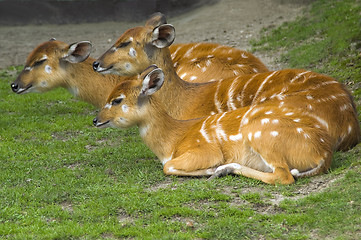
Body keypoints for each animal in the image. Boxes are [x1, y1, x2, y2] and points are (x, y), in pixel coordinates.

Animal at [93, 66, 332, 185]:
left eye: (117, 100)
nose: (95, 120)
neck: (171, 141)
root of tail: (323, 153)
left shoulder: (204, 150)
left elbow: (167, 167)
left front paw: (208, 170)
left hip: (261, 134)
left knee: (284, 176)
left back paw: (221, 169)